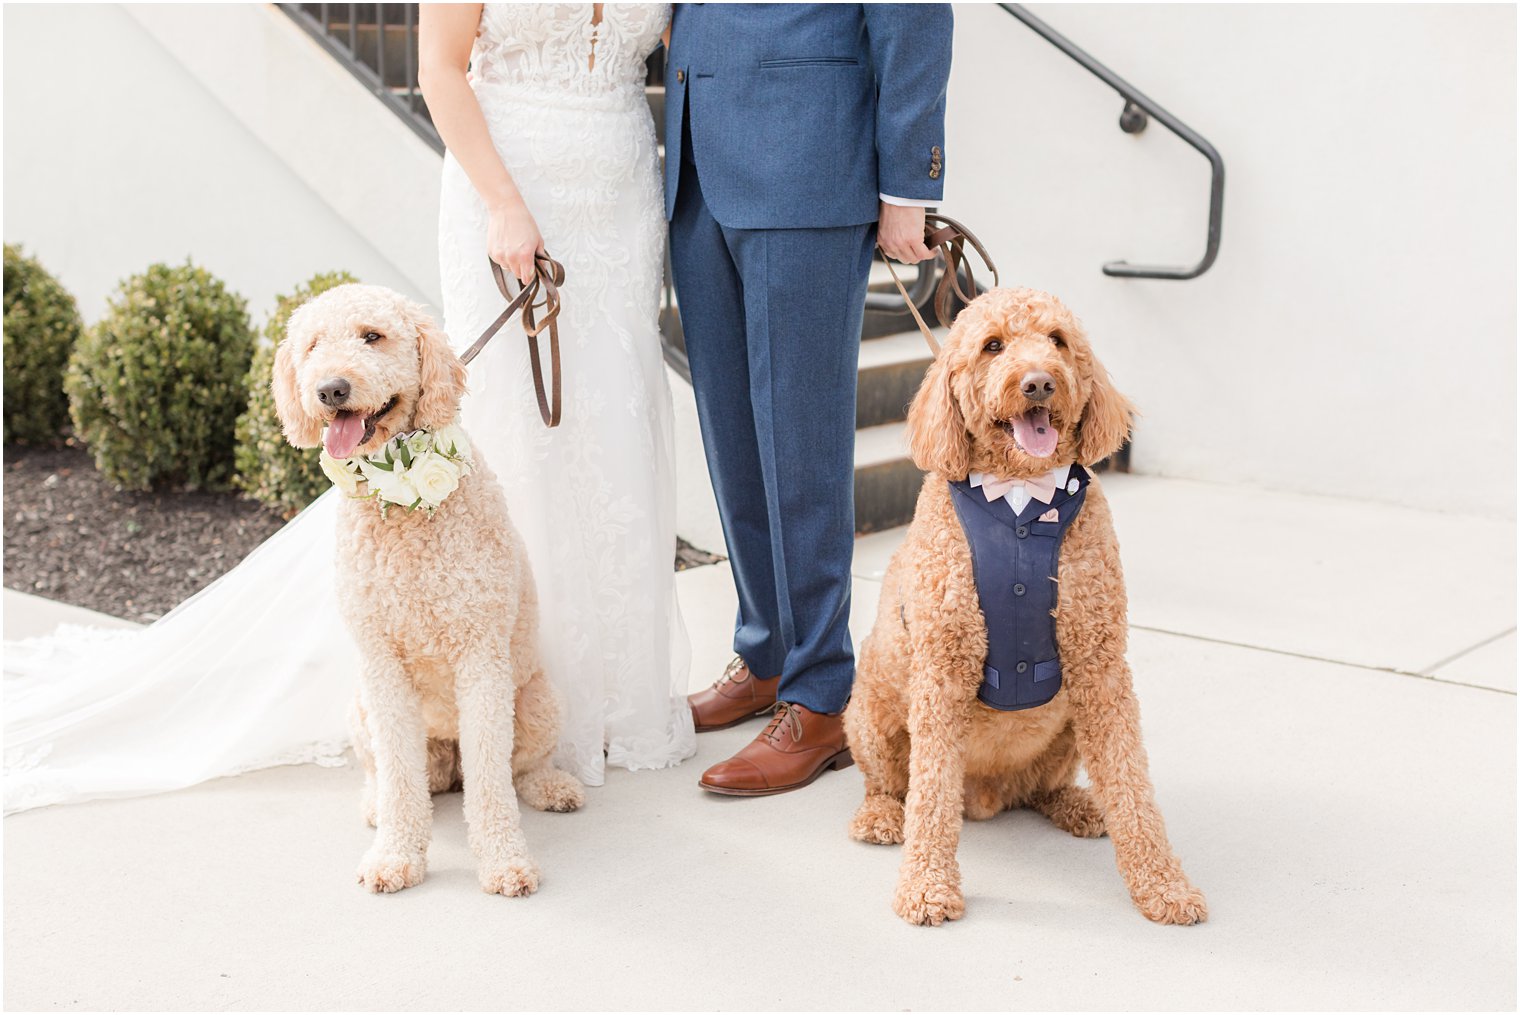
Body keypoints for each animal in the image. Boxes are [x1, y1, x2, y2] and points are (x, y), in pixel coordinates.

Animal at [273, 284, 580, 893]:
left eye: (372, 336)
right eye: (313, 345)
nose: (330, 389)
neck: (401, 503)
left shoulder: (481, 659)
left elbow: (491, 781)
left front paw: (504, 861)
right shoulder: (383, 666)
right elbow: (400, 779)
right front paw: (396, 856)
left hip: (537, 700)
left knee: (520, 768)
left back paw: (551, 787)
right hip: (361, 710)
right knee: (394, 776)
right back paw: (376, 804)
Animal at [845, 285, 1209, 929]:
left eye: (1058, 342)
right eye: (993, 346)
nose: (1040, 382)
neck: (1018, 495)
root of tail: (990, 796)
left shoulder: (1101, 668)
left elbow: (1132, 785)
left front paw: (1164, 887)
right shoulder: (942, 672)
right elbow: (930, 795)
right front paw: (926, 888)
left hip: (1069, 727)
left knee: (1044, 788)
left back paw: (1077, 806)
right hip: (870, 714)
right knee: (893, 785)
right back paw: (882, 817)